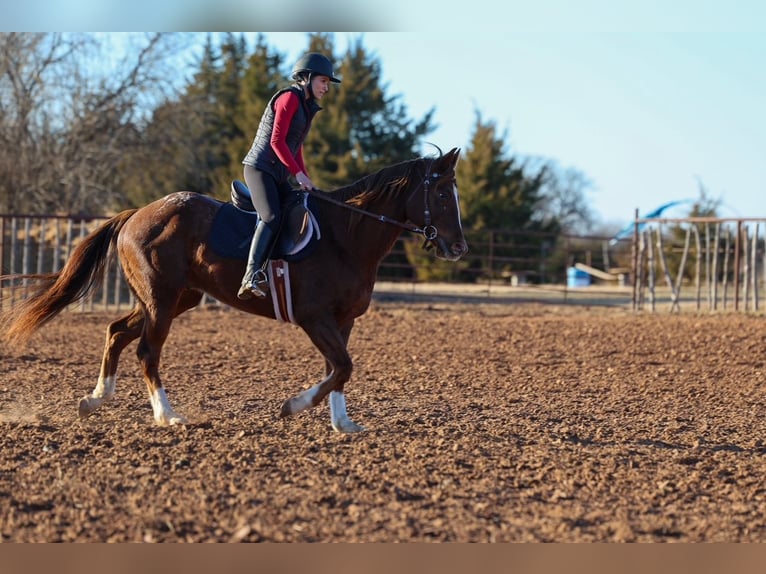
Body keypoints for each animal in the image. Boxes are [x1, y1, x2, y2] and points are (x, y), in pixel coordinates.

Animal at [0, 148, 467, 432]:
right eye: (444, 194)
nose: (459, 247)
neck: (344, 236)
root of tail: (137, 214)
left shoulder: (343, 320)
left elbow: (338, 370)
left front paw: (342, 424)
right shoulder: (314, 318)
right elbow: (341, 367)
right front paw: (293, 406)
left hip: (176, 298)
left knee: (116, 332)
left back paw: (96, 399)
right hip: (161, 300)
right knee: (147, 351)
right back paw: (167, 415)